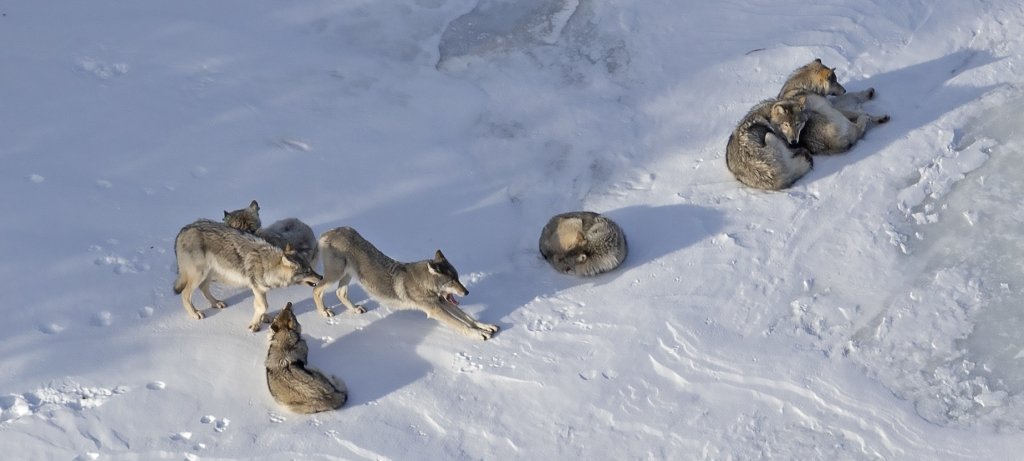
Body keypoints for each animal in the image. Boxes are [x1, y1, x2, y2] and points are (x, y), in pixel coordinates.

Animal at [173, 219, 319, 331]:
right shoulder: (256, 287)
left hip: (210, 273)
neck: (267, 264)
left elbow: (260, 306)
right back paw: (195, 313)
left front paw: (263, 318)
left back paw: (216, 303)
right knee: (185, 294)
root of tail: (184, 230)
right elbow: (263, 306)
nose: (321, 277)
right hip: (200, 275)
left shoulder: (260, 289)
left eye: (311, 268)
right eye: (307, 271)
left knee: (203, 287)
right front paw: (254, 325)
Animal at [313, 225, 501, 340]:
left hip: (347, 275)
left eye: (458, 278)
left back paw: (355, 309)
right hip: (335, 275)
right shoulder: (435, 310)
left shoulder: (442, 303)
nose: (467, 292)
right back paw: (324, 312)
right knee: (317, 290)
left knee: (340, 293)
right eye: (451, 281)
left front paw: (485, 327)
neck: (425, 284)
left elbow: (468, 318)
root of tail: (327, 232)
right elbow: (461, 324)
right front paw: (478, 335)